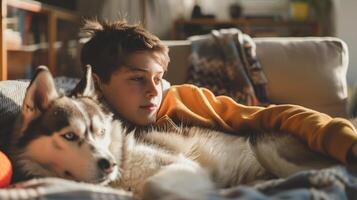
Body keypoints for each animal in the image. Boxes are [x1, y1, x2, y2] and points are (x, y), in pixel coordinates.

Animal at [9, 66, 336, 200]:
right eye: (69, 136)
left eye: (100, 132)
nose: (109, 164)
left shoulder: (180, 164)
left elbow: (152, 186)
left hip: (270, 149)